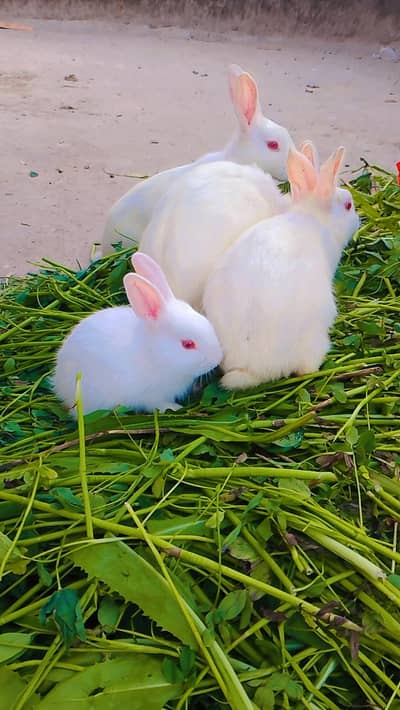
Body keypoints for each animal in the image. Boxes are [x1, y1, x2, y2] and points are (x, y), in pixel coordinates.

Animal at [53, 252, 223, 417]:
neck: (157, 355)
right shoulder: (152, 396)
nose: (218, 358)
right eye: (188, 344)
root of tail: (59, 383)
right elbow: (158, 405)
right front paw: (175, 408)